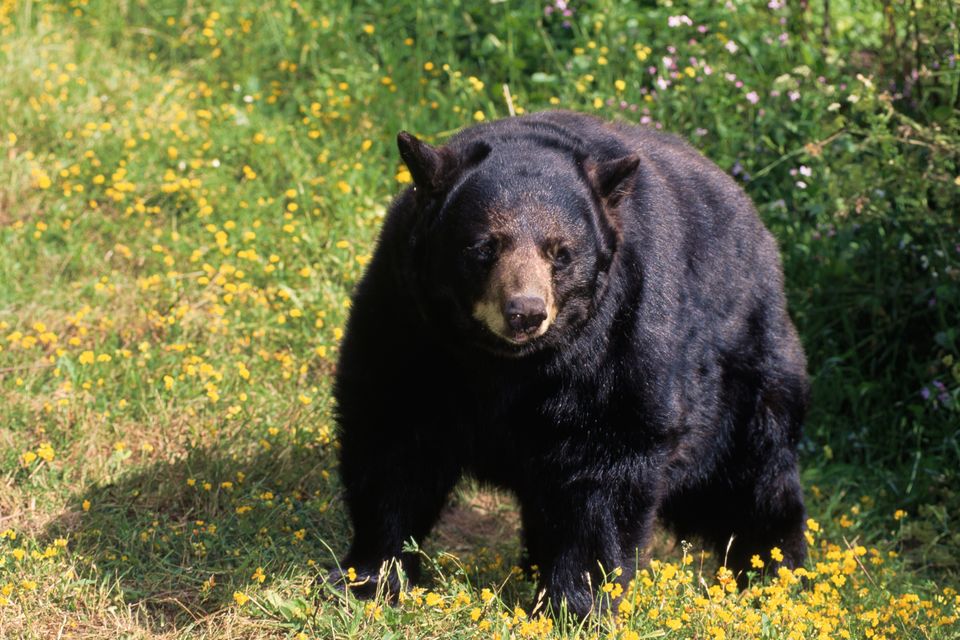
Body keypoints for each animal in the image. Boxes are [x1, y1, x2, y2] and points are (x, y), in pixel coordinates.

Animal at [330, 110, 809, 617]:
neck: (503, 365)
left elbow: (607, 462)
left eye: (561, 252)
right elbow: (394, 434)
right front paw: (371, 577)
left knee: (752, 475)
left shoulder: (618, 336)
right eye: (484, 247)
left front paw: (575, 604)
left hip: (744, 373)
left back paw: (772, 576)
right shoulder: (410, 321)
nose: (525, 311)